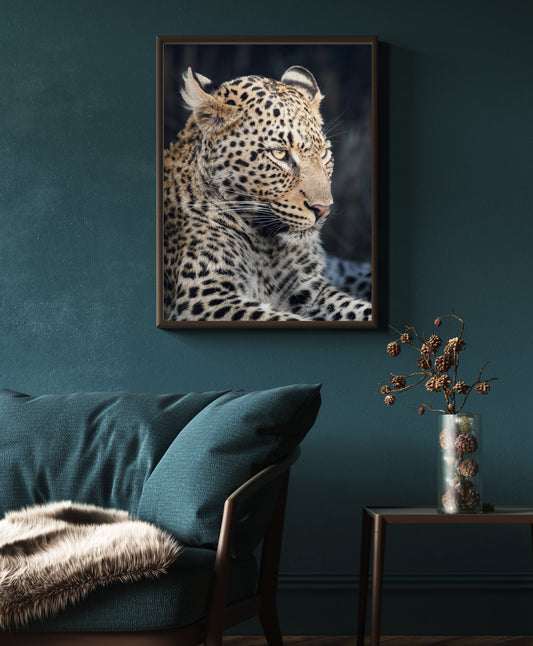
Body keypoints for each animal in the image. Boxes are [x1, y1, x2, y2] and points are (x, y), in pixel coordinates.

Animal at [163, 65, 372, 323]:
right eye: (280, 154)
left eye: (324, 154)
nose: (323, 209)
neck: (267, 248)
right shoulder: (202, 297)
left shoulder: (311, 290)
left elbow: (358, 309)